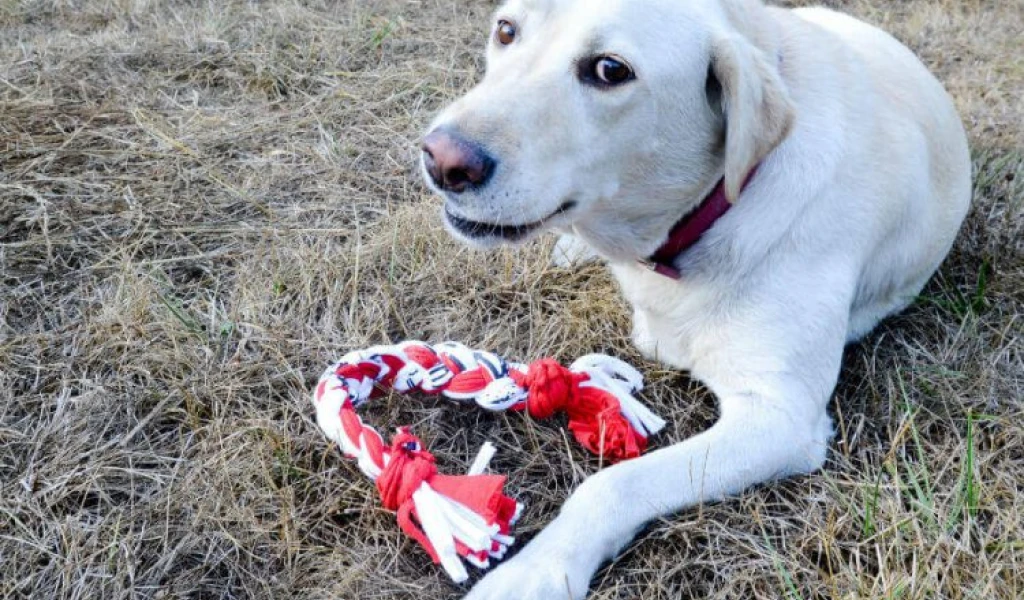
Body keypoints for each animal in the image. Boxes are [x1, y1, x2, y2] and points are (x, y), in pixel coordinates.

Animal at [415, 2, 966, 593]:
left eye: (610, 70)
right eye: (505, 30)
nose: (441, 159)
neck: (715, 205)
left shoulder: (782, 417)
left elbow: (613, 484)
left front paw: (537, 571)